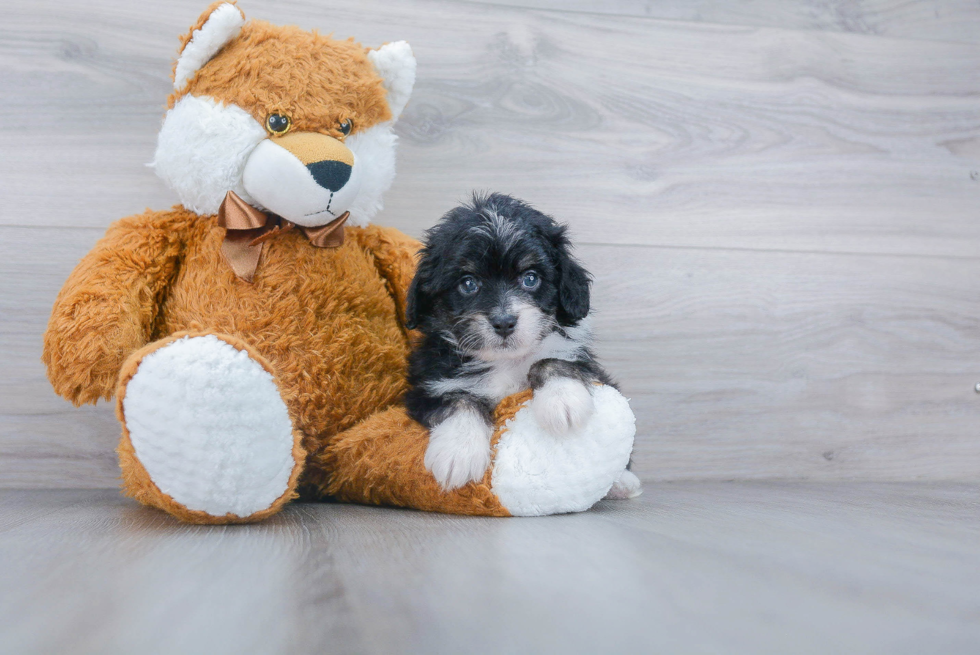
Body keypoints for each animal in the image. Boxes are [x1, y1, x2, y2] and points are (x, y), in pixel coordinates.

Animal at [404, 192, 640, 494]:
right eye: (468, 283)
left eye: (530, 278)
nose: (504, 322)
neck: (505, 361)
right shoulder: (426, 386)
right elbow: (458, 399)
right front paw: (458, 451)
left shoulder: (587, 363)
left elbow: (553, 359)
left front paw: (562, 400)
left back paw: (623, 482)